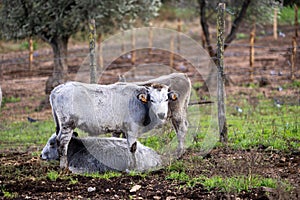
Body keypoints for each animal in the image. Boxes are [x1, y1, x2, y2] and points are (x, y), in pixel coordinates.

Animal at [49, 82, 178, 168]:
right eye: (152, 100)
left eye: (166, 99)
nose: (161, 114)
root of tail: (58, 88)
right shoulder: (132, 129)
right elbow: (132, 147)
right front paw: (134, 167)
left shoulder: (120, 129)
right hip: (68, 123)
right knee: (63, 142)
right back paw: (64, 166)